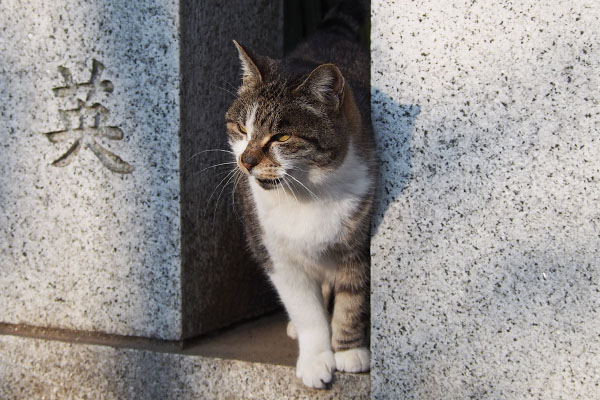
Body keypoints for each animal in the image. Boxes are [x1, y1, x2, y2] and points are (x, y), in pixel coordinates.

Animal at [225, 2, 376, 390]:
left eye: (281, 137)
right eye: (242, 128)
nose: (246, 161)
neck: (306, 194)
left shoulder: (359, 245)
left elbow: (353, 299)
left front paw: (349, 351)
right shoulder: (275, 253)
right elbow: (306, 311)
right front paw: (316, 359)